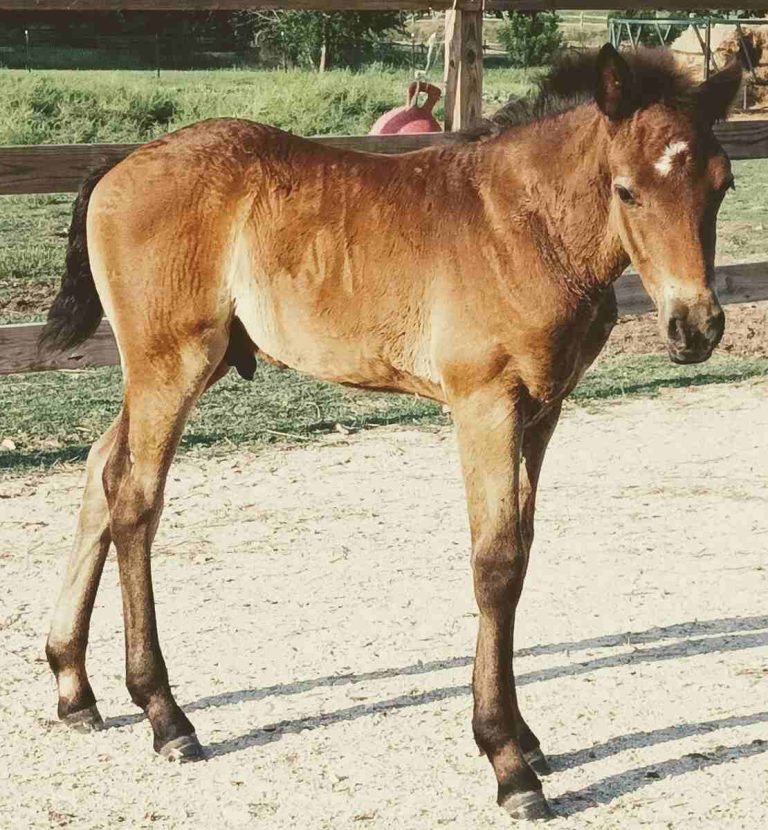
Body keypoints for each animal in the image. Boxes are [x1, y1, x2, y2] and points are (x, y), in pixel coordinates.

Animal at [42, 47, 744, 824]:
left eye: (723, 184)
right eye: (626, 190)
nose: (696, 327)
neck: (520, 226)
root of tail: (123, 162)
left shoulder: (543, 409)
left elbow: (523, 553)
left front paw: (528, 739)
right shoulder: (485, 403)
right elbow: (496, 564)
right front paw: (507, 761)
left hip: (190, 364)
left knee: (101, 474)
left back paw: (74, 687)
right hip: (171, 365)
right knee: (136, 502)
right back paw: (165, 715)